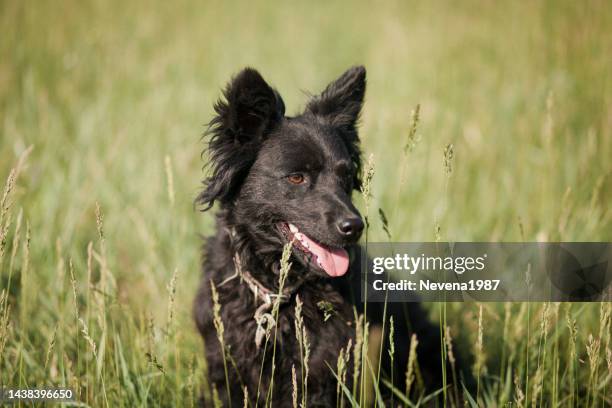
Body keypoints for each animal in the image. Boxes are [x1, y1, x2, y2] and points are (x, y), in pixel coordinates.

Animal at [194, 66, 466, 404]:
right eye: (297, 177)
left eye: (345, 175)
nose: (354, 226)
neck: (277, 293)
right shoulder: (227, 370)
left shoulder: (321, 373)